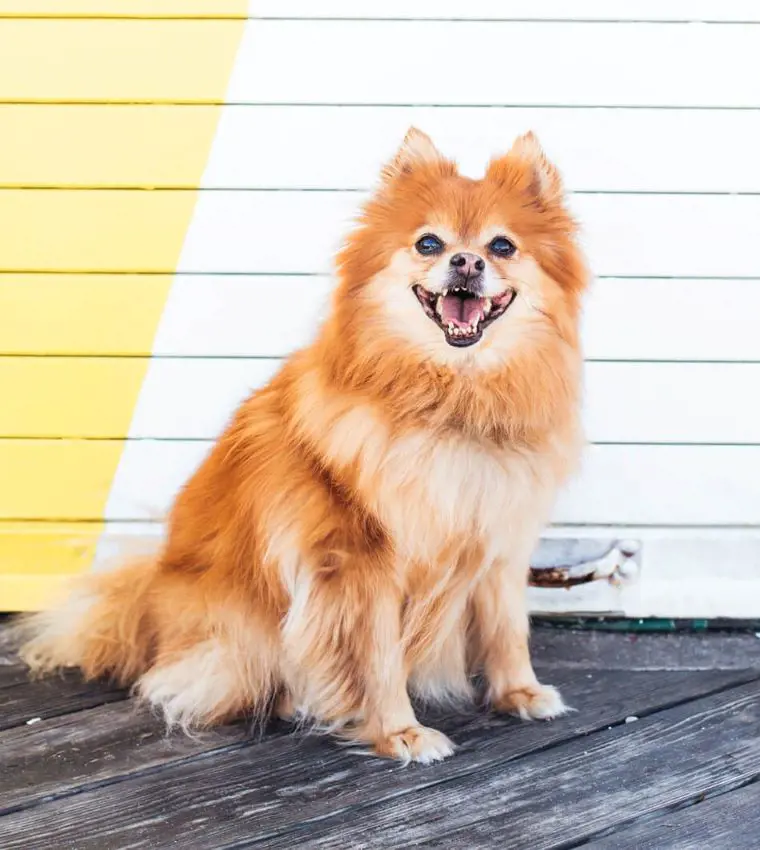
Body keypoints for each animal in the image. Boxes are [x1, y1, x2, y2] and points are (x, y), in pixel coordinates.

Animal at [19, 127, 588, 760]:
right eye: (430, 243)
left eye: (503, 246)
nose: (466, 260)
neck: (453, 404)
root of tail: (148, 610)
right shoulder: (362, 560)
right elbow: (380, 655)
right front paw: (399, 730)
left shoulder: (499, 537)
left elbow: (509, 628)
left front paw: (520, 693)